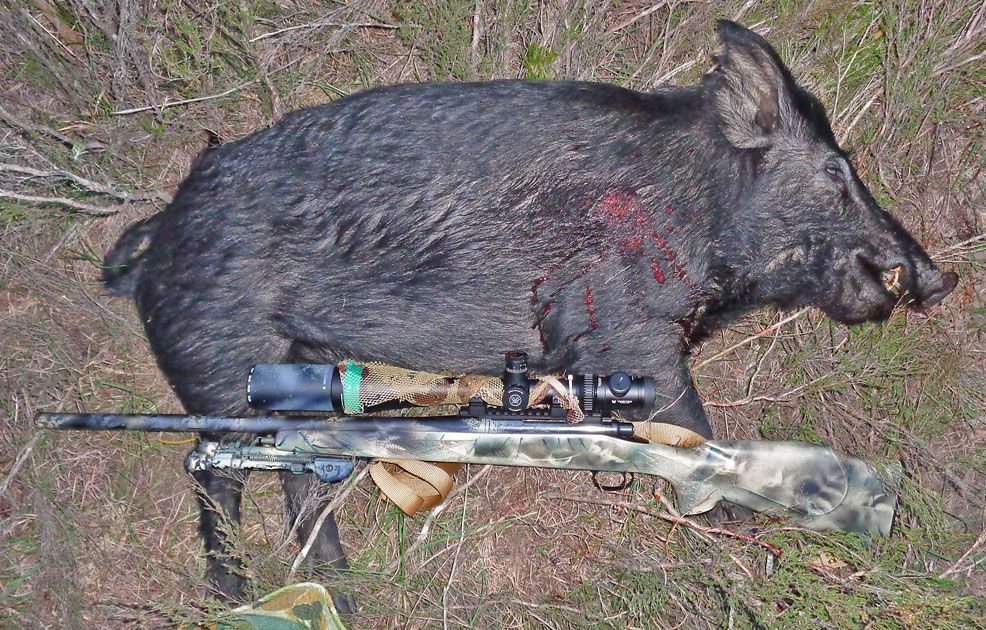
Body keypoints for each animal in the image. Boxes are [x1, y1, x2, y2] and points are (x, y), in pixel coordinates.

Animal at [101, 21, 957, 605]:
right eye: (838, 173)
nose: (940, 277)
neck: (701, 214)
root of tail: (160, 236)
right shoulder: (631, 337)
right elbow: (694, 431)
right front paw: (749, 550)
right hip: (220, 361)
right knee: (217, 477)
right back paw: (238, 596)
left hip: (293, 371)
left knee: (298, 481)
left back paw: (342, 590)